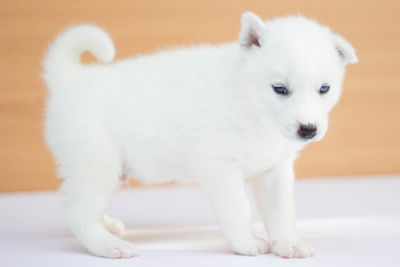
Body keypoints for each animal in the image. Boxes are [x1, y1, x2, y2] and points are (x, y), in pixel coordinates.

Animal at [43, 12, 356, 260]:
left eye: (324, 89)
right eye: (279, 89)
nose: (308, 129)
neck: (251, 105)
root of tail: (70, 80)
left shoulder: (274, 172)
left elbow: (280, 212)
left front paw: (288, 243)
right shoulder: (220, 168)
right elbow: (238, 209)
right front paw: (246, 243)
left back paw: (108, 226)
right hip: (97, 165)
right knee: (78, 211)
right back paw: (108, 245)